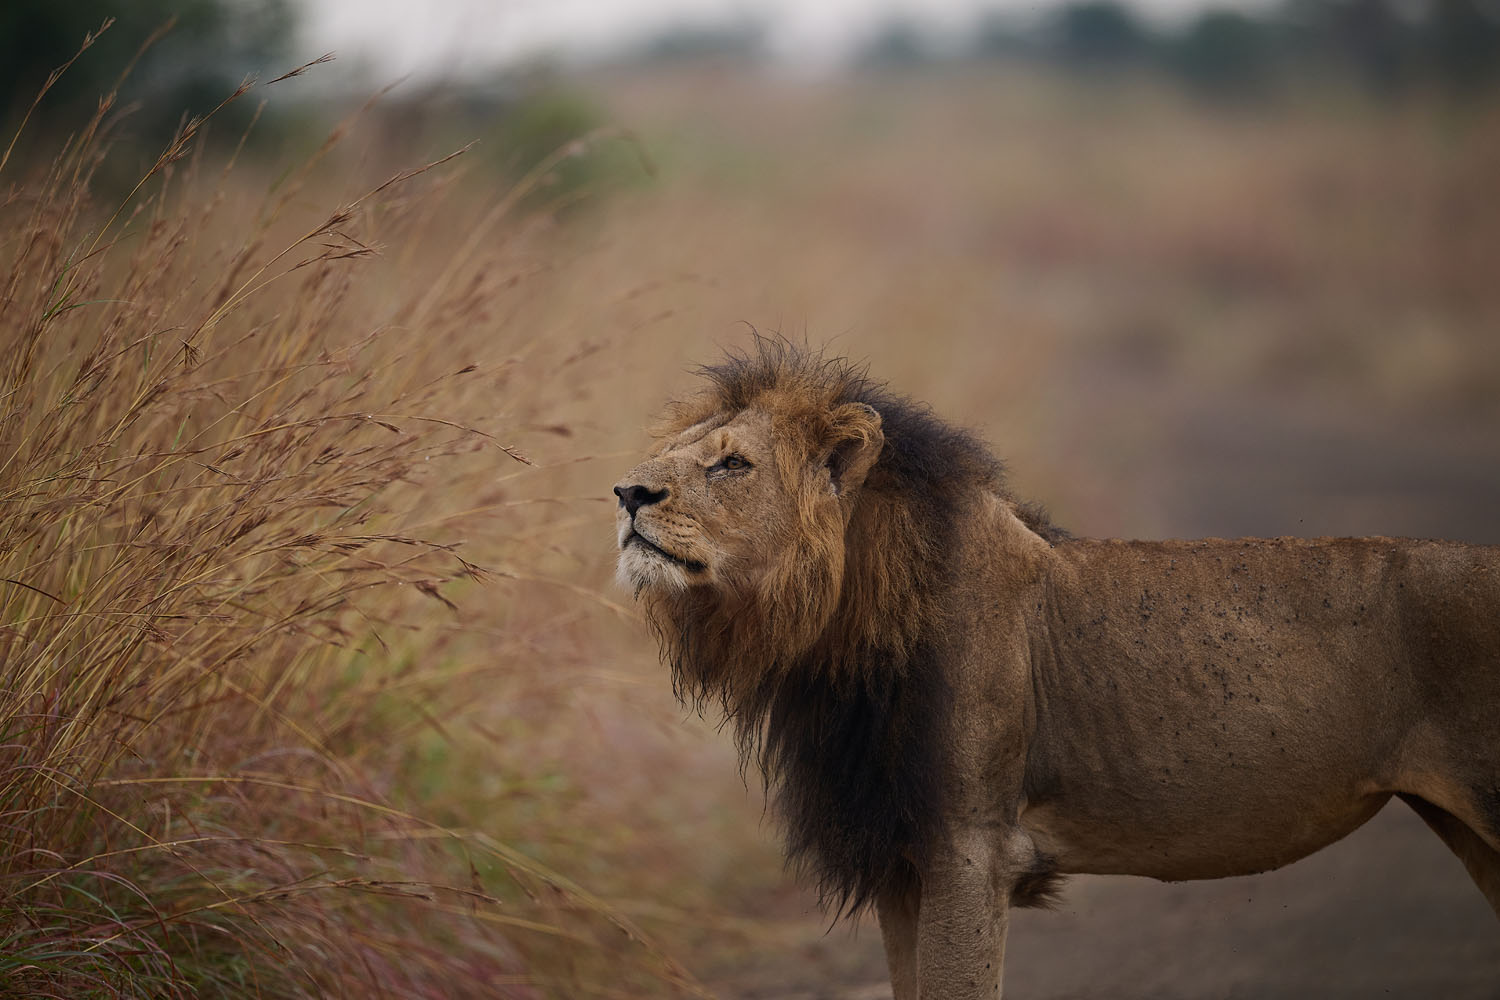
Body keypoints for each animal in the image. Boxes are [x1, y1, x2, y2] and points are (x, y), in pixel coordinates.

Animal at [611, 340, 1500, 999]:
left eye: (732, 465)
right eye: (668, 455)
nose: (626, 492)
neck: (835, 635)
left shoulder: (970, 848)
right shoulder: (902, 859)